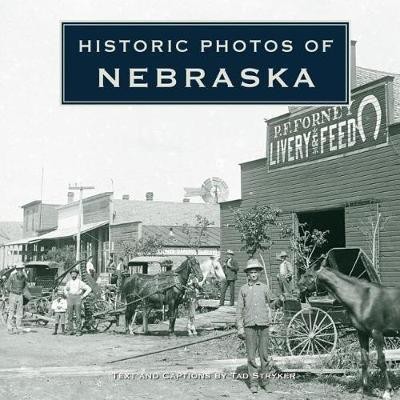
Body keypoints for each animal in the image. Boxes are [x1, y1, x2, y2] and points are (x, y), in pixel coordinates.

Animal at [298, 260, 398, 398]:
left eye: (308, 275)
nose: (298, 287)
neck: (363, 299)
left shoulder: (377, 333)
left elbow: (381, 361)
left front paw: (387, 391)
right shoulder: (362, 333)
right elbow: (364, 360)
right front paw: (362, 389)